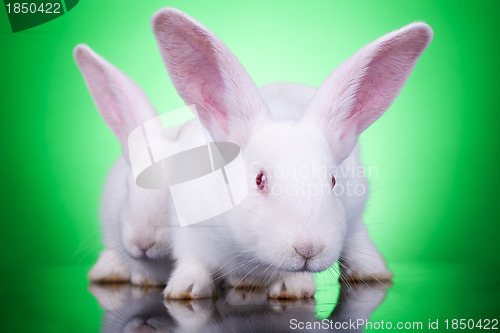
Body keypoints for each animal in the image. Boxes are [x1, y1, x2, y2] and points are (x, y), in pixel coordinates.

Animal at [73, 7, 430, 298]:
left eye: (333, 182)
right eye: (259, 180)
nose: (308, 249)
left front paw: (292, 289)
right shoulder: (191, 233)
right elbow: (192, 263)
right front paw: (184, 290)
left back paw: (371, 272)